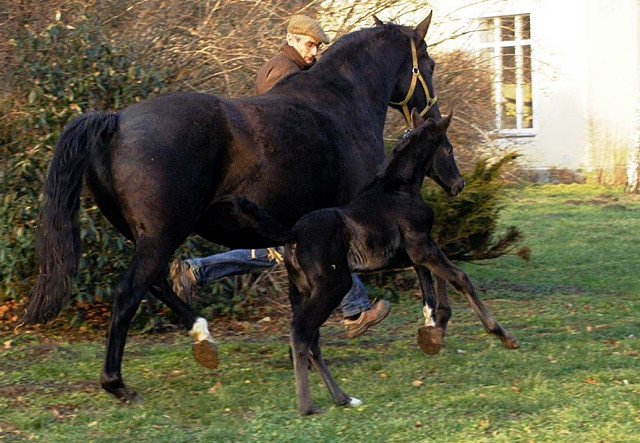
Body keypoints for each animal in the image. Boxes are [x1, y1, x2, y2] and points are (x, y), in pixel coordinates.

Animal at [282, 110, 516, 416]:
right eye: (449, 149)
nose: (459, 184)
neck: (398, 191)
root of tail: (294, 237)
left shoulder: (415, 252)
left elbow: (433, 285)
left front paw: (433, 332)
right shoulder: (422, 246)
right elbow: (459, 277)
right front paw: (502, 334)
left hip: (302, 291)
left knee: (313, 338)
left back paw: (344, 398)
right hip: (333, 285)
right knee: (302, 331)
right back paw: (308, 406)